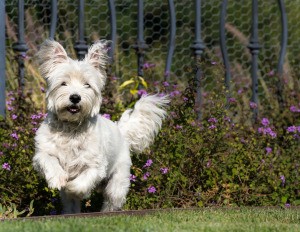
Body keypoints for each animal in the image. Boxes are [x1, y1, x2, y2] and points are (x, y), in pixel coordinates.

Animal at [33, 39, 169, 214]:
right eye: (63, 83)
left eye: (87, 85)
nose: (75, 97)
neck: (71, 128)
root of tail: (121, 131)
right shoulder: (43, 152)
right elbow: (48, 160)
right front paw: (58, 179)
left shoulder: (95, 165)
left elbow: (82, 181)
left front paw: (72, 186)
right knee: (71, 204)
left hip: (117, 182)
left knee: (112, 200)